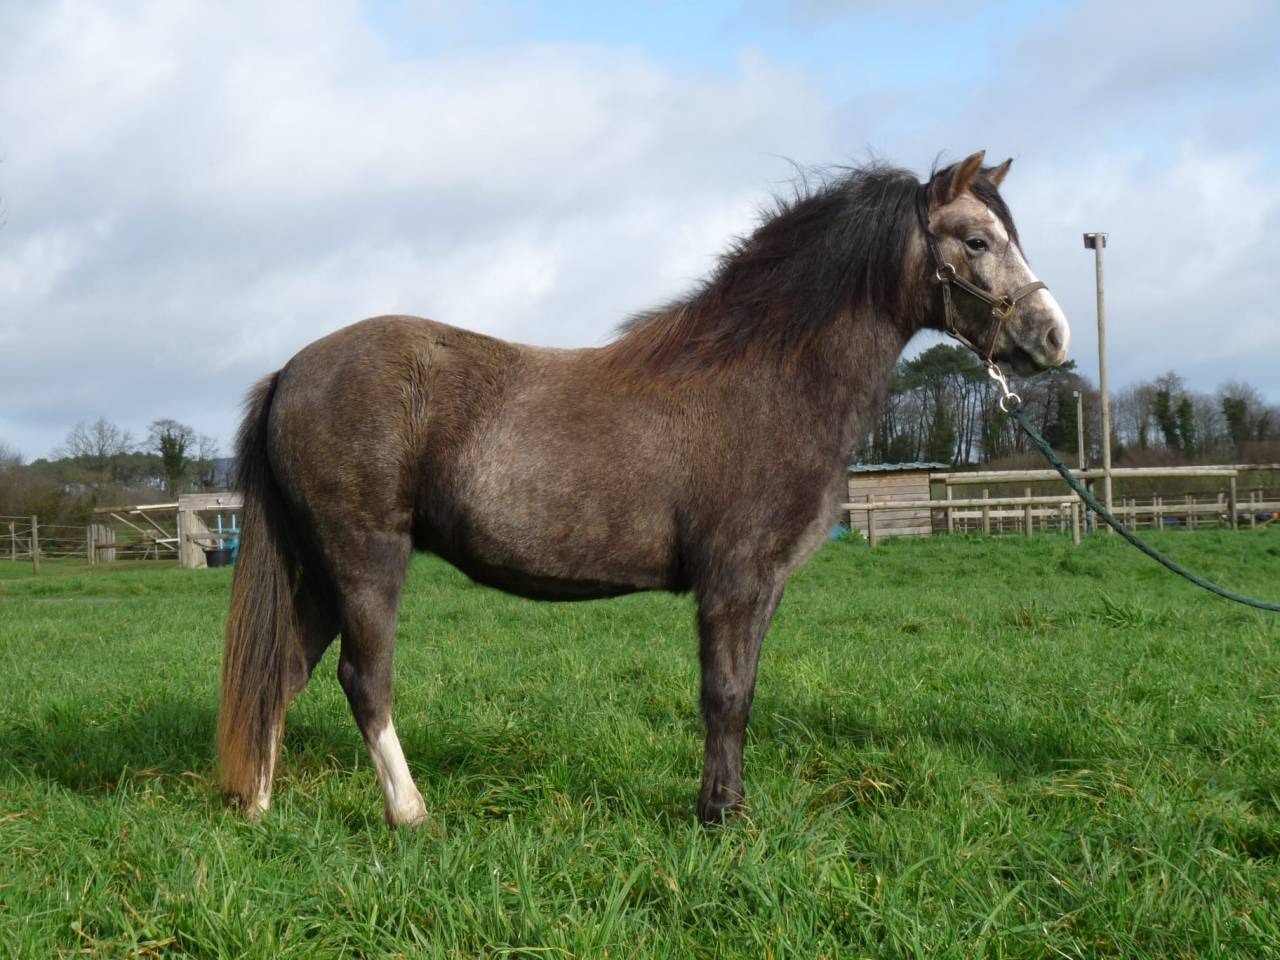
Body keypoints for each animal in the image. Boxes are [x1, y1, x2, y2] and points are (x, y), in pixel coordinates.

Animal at [218, 150, 1070, 827]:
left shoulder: (763, 589)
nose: (1053, 337)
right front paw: (720, 817)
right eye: (977, 240)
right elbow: (725, 697)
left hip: (319, 572)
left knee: (281, 676)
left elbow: (743, 694)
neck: (769, 380)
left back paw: (258, 806)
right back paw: (409, 812)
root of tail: (291, 370)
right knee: (363, 682)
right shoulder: (734, 583)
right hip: (366, 559)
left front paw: (727, 807)